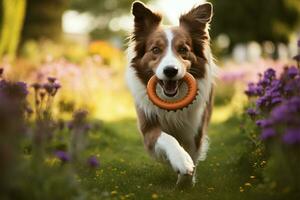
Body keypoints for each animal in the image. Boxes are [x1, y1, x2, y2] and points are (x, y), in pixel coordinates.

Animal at [125, 1, 217, 186]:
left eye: (183, 49)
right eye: (155, 49)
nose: (170, 70)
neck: (172, 104)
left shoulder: (195, 130)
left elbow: (193, 156)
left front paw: (186, 182)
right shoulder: (148, 129)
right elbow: (168, 138)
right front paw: (181, 161)